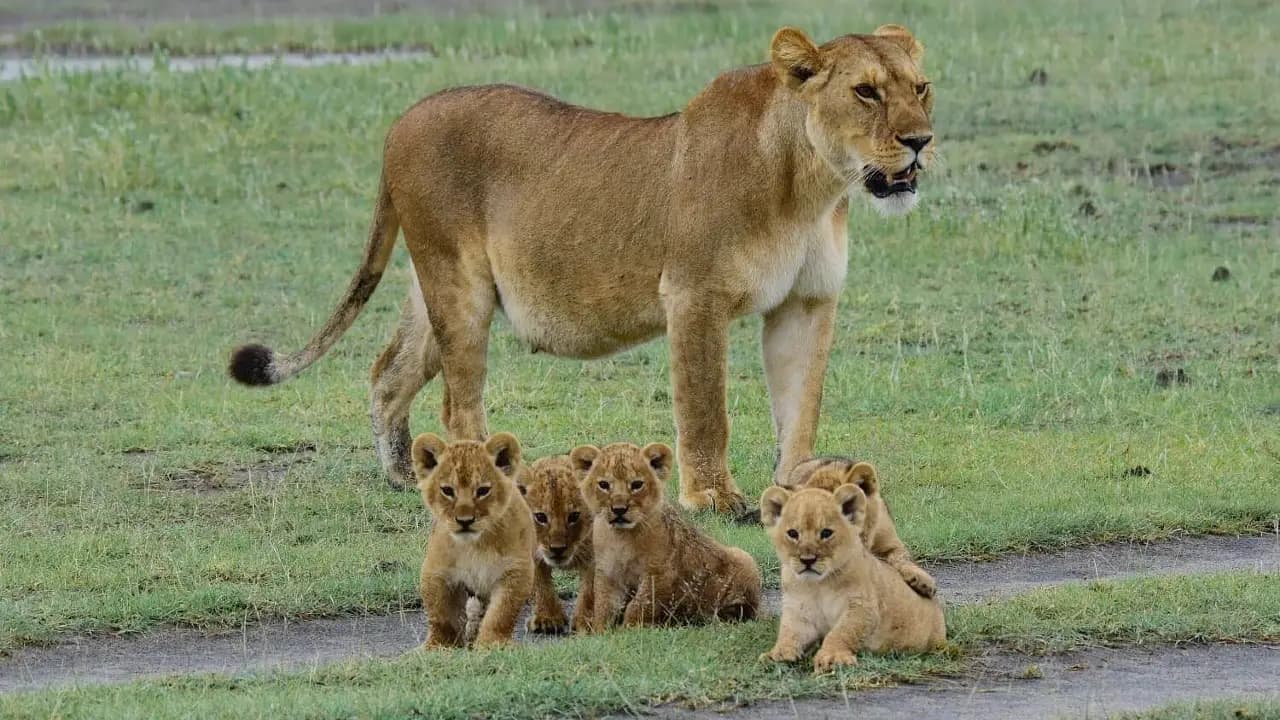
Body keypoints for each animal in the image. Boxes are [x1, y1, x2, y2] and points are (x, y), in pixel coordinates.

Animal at [227, 25, 931, 512]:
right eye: (865, 92)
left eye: (920, 88)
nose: (921, 140)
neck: (812, 187)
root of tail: (403, 118)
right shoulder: (694, 296)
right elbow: (706, 408)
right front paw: (712, 498)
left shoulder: (805, 303)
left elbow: (799, 406)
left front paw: (799, 491)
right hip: (457, 287)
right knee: (459, 406)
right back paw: (487, 488)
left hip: (431, 288)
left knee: (386, 374)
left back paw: (406, 476)